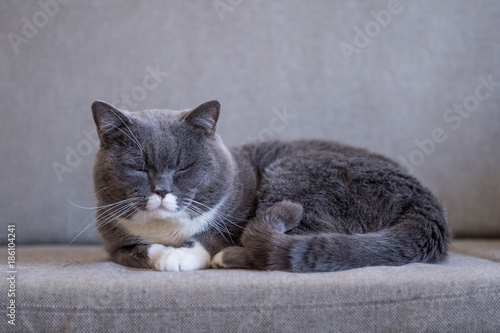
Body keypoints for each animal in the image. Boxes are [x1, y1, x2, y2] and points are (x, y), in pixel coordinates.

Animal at [92, 100, 452, 272]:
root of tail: (426, 204)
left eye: (183, 166)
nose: (162, 190)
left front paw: (179, 257)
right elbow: (134, 251)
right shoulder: (113, 239)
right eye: (138, 168)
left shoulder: (234, 216)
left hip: (296, 175)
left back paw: (227, 258)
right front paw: (161, 254)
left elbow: (210, 236)